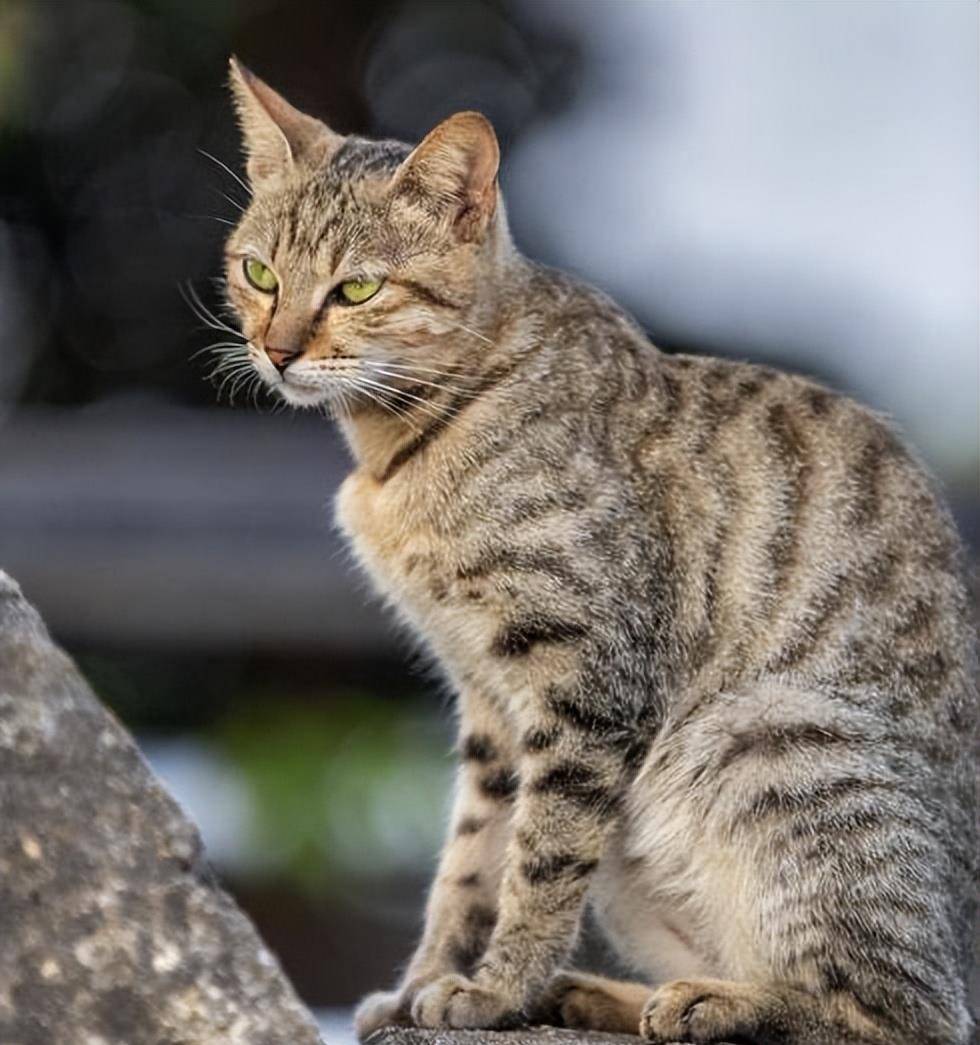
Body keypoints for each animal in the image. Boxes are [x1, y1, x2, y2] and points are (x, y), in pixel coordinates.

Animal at [217, 59, 973, 1045]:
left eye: (356, 290)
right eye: (259, 271)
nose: (275, 350)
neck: (399, 449)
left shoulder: (586, 682)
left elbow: (539, 860)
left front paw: (496, 988)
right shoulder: (490, 704)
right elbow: (470, 862)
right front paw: (431, 979)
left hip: (765, 733)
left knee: (902, 1011)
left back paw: (712, 1001)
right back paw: (607, 994)